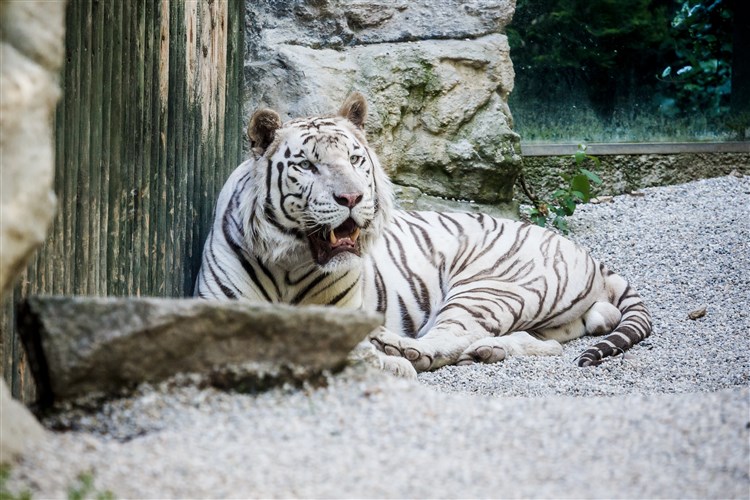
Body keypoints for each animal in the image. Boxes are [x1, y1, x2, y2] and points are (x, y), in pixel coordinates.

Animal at [194, 92, 652, 376]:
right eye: (307, 165)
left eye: (355, 159)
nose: (352, 197)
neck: (290, 264)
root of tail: (589, 254)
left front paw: (385, 361)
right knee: (545, 343)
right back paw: (483, 352)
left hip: (490, 286)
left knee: (451, 334)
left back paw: (403, 350)